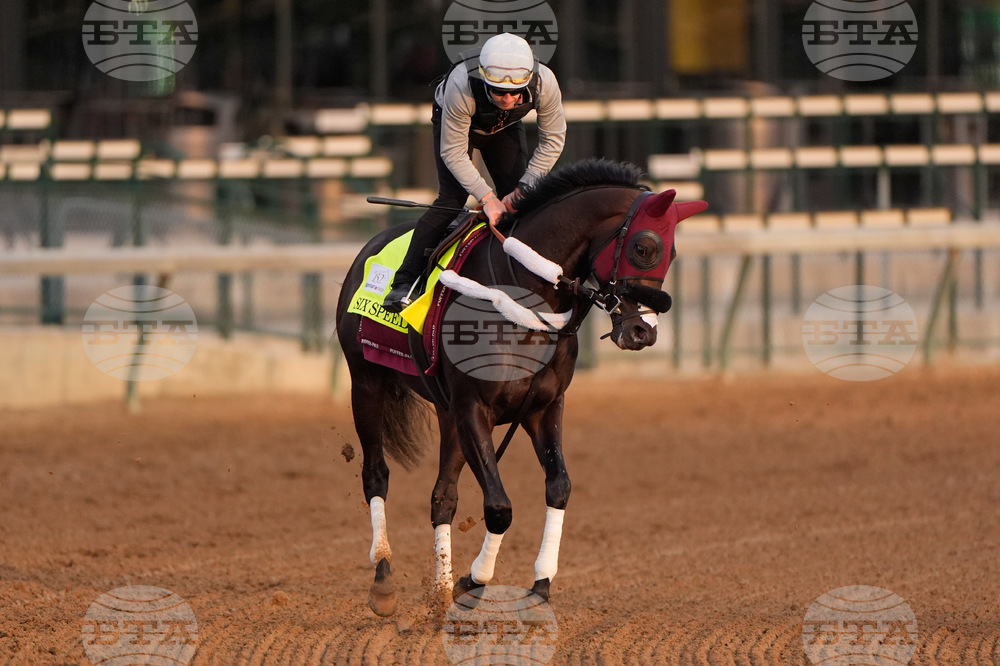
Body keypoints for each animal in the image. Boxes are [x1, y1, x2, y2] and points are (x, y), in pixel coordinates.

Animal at [335, 158, 707, 616]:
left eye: (671, 254)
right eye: (644, 247)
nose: (643, 332)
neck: (526, 300)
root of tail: (368, 246)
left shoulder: (541, 408)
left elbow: (559, 487)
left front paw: (538, 582)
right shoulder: (474, 408)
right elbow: (498, 507)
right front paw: (474, 580)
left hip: (446, 413)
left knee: (443, 496)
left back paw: (440, 591)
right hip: (366, 384)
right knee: (376, 474)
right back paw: (384, 580)